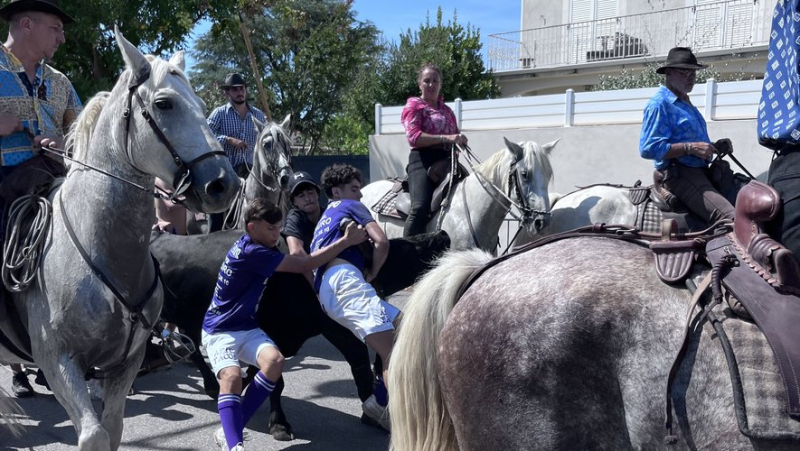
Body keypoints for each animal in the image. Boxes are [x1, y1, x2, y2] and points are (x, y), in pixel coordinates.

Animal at [0, 29, 238, 451]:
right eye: (163, 103)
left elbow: (112, 429)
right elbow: (93, 434)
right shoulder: (57, 360)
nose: (223, 184)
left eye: (201, 105)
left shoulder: (126, 362)